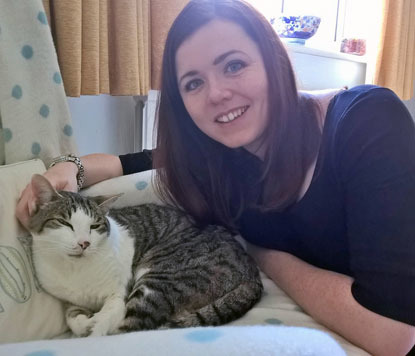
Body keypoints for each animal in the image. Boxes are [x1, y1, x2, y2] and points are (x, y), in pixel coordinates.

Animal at [27, 175, 264, 336]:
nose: (84, 243)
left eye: (94, 226)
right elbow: (72, 318)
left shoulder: (120, 293)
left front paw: (96, 325)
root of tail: (252, 274)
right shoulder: (70, 300)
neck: (75, 270)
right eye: (65, 223)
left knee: (134, 327)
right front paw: (85, 322)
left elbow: (108, 318)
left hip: (160, 278)